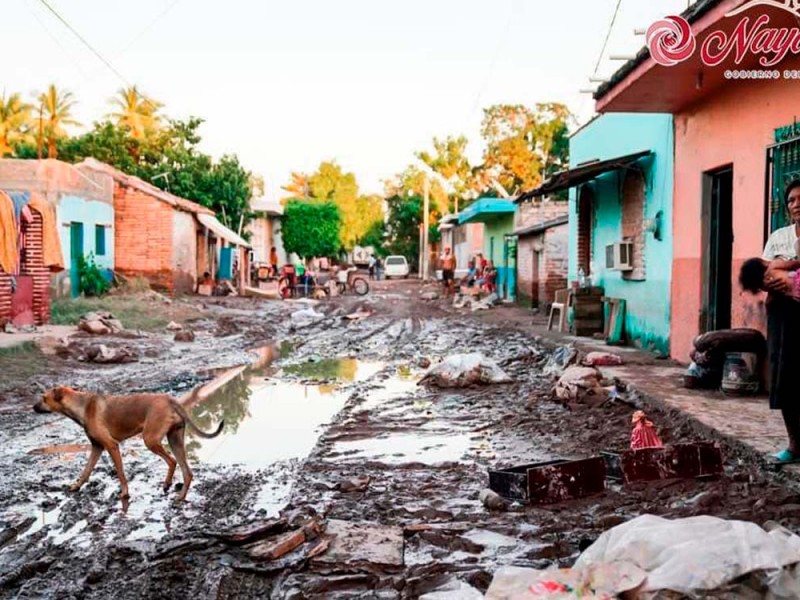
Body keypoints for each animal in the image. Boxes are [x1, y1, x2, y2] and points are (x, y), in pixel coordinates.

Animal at [33, 384, 222, 502]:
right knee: (186, 471)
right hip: (174, 439)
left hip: (150, 439)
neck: (82, 406)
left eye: (44, 398)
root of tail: (170, 400)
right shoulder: (97, 447)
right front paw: (76, 486)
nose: (32, 407)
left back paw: (168, 486)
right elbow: (86, 471)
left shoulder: (111, 445)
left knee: (172, 461)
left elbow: (121, 473)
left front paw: (124, 493)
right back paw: (180, 496)